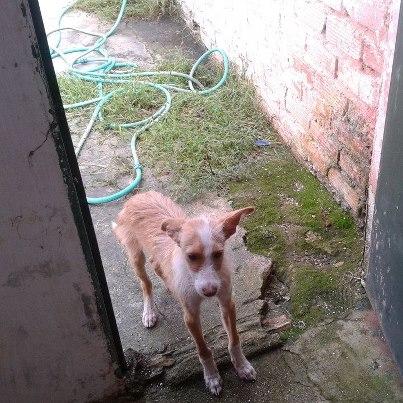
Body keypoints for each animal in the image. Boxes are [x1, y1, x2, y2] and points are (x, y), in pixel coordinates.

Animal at [113, 192, 256, 394]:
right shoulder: (191, 316)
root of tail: (138, 195)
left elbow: (234, 339)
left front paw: (242, 366)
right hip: (135, 255)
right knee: (145, 283)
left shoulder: (227, 303)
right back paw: (149, 312)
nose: (209, 291)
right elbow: (203, 350)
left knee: (157, 265)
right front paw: (212, 376)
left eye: (218, 254)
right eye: (191, 257)